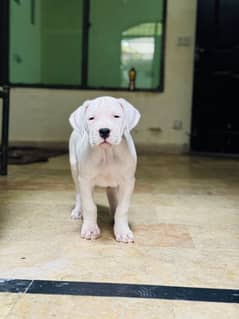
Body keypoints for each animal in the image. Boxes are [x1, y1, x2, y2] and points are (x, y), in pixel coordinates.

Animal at [68, 96, 140, 244]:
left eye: (116, 116)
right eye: (91, 118)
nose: (104, 131)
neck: (107, 153)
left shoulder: (128, 182)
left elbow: (122, 209)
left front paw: (122, 231)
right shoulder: (85, 180)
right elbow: (90, 206)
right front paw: (90, 229)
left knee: (112, 194)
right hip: (74, 168)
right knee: (78, 193)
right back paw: (78, 210)